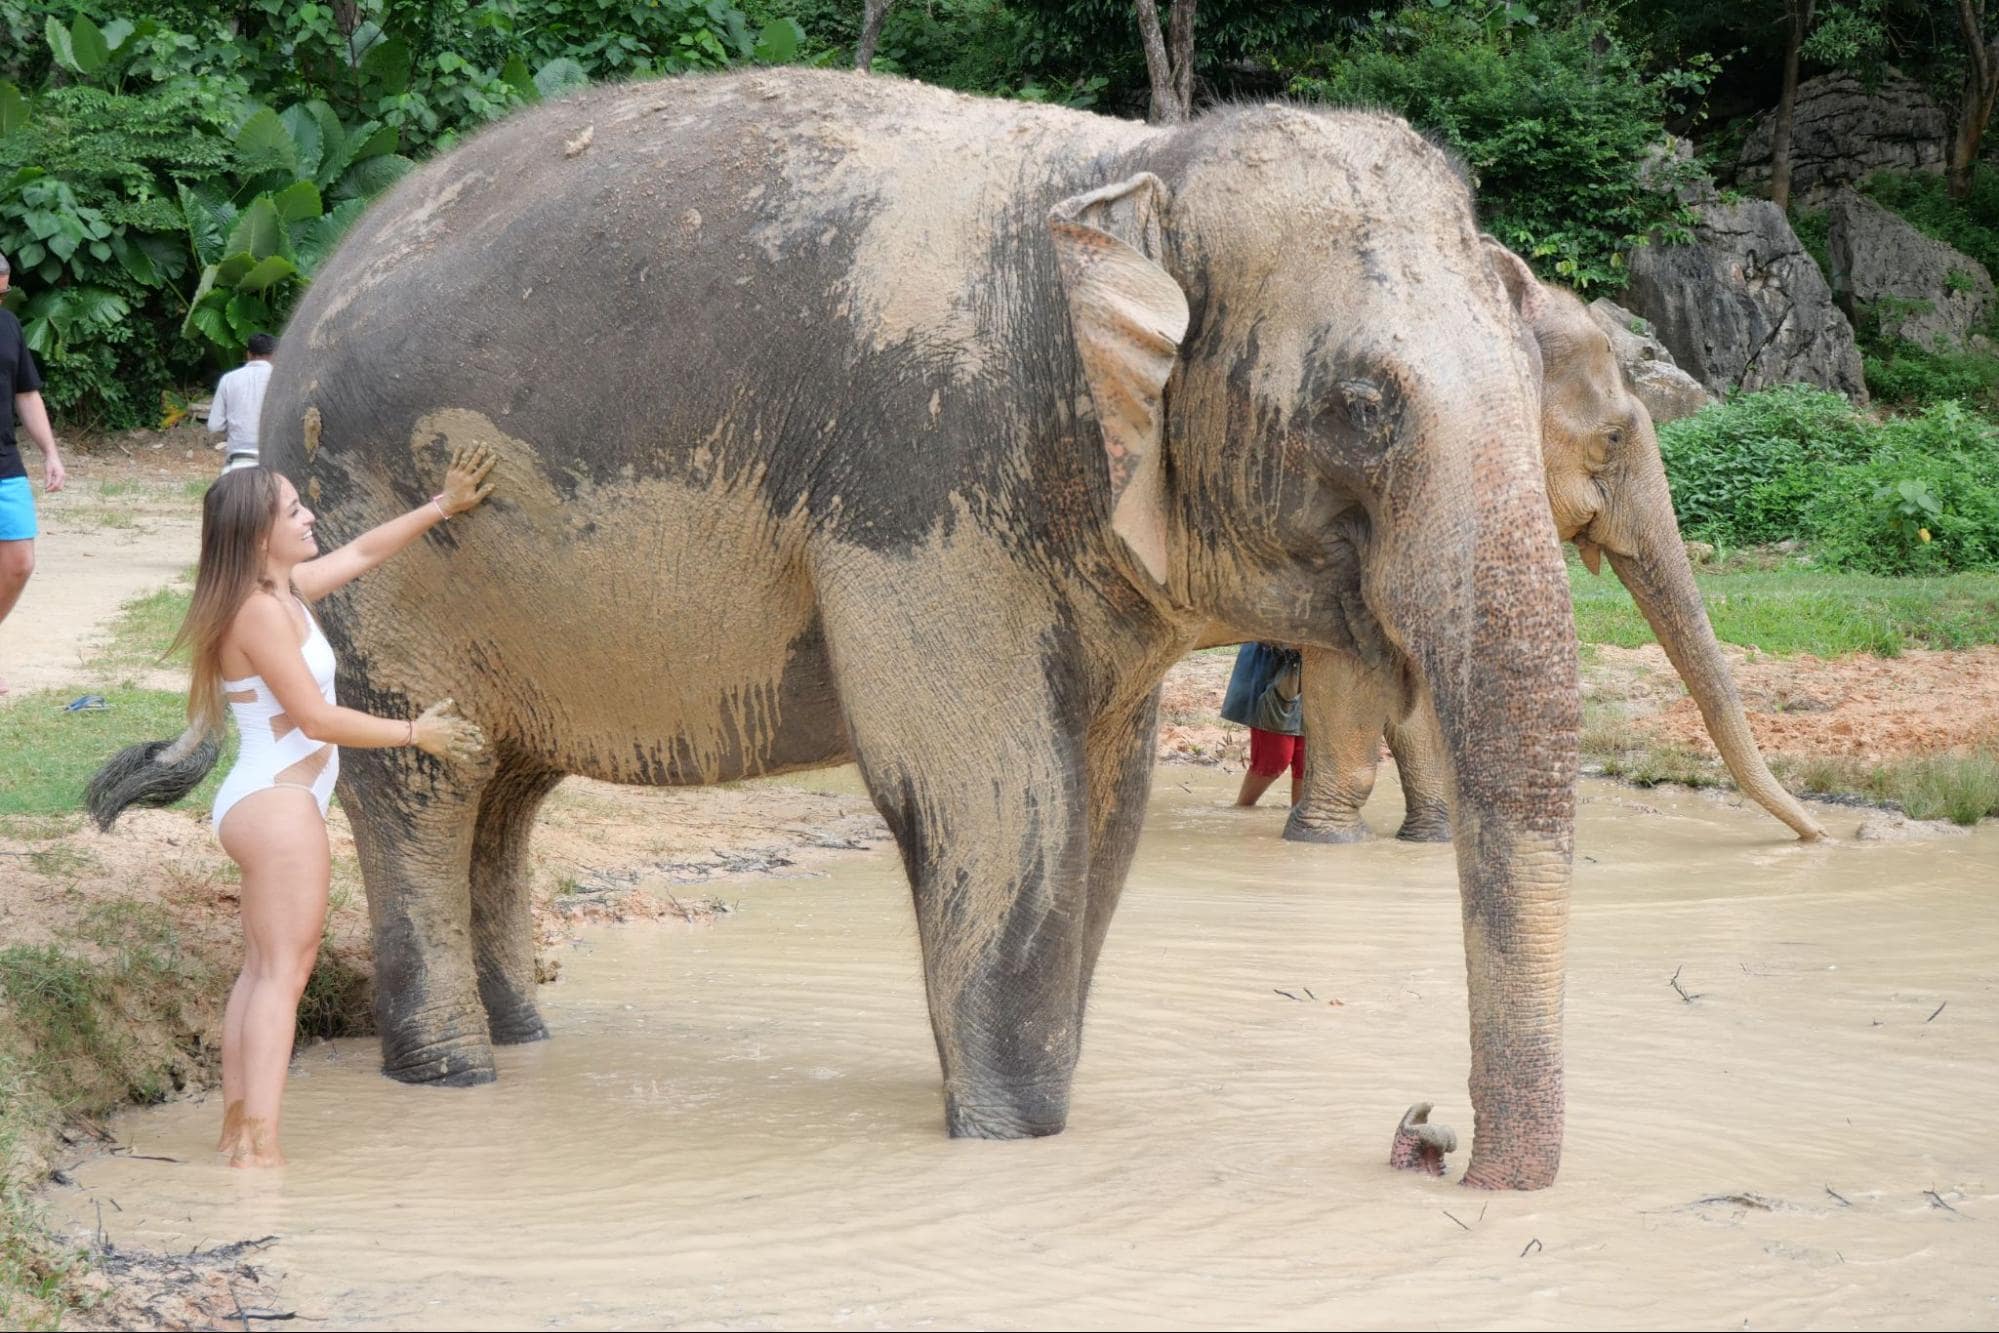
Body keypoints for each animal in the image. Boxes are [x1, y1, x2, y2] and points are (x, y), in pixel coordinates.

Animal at [261, 70, 1575, 1191]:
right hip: (361, 544)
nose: (1428, 1140)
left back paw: (527, 1038)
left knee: (508, 790)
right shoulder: (924, 481)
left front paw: (1038, 1107)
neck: (1131, 169)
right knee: (427, 783)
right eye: (1361, 408)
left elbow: (1106, 805)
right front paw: (1010, 1143)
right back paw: (453, 1075)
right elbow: (991, 794)